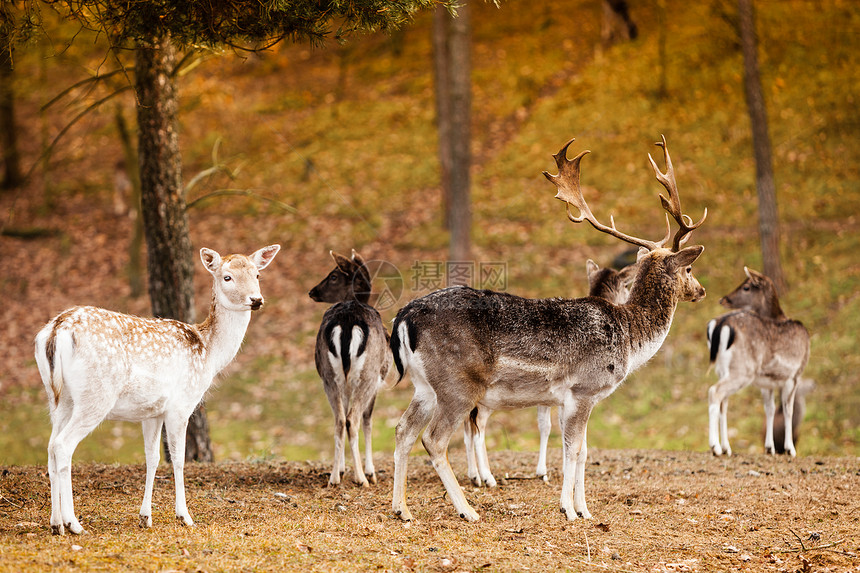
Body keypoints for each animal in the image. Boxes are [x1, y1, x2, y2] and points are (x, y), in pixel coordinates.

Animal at [33, 244, 280, 536]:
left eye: (257, 274)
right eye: (227, 277)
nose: (256, 299)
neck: (208, 353)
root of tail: (56, 330)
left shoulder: (151, 412)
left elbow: (152, 458)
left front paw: (145, 517)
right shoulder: (181, 405)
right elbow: (179, 459)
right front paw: (184, 516)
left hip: (58, 398)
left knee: (50, 446)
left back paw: (55, 523)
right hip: (95, 396)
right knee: (63, 445)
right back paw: (73, 523)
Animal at [308, 248, 392, 484]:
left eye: (334, 276)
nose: (312, 291)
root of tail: (346, 324)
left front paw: (343, 468)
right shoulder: (377, 383)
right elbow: (368, 421)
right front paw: (370, 471)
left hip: (329, 375)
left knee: (339, 419)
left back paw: (334, 477)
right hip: (368, 375)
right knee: (352, 419)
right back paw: (362, 478)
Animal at [464, 260, 640, 488]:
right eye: (626, 286)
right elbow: (548, 427)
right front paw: (544, 472)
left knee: (467, 426)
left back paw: (474, 475)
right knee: (477, 426)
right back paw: (487, 477)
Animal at [704, 268, 812, 456]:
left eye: (746, 286)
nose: (723, 299)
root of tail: (719, 325)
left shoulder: (767, 381)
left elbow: (769, 409)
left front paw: (770, 448)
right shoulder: (794, 375)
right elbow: (788, 410)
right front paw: (790, 449)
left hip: (722, 370)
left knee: (724, 402)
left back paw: (726, 448)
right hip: (743, 370)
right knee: (714, 392)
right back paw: (715, 447)